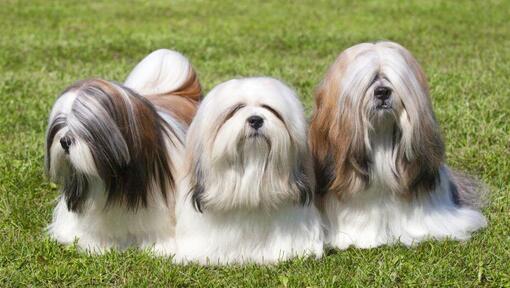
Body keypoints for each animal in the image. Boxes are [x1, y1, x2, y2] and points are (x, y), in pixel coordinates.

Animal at [45, 49, 201, 254]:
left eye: (89, 129)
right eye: (61, 123)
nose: (64, 140)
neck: (117, 182)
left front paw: (159, 246)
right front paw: (95, 244)